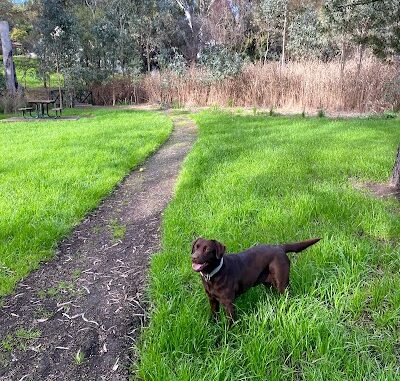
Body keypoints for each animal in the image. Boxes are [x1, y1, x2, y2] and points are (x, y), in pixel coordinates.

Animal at [192, 238, 320, 324]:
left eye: (207, 249)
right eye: (196, 247)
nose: (193, 257)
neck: (213, 275)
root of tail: (279, 247)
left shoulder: (228, 304)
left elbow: (230, 323)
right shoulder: (212, 300)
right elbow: (214, 316)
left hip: (282, 284)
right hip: (269, 283)